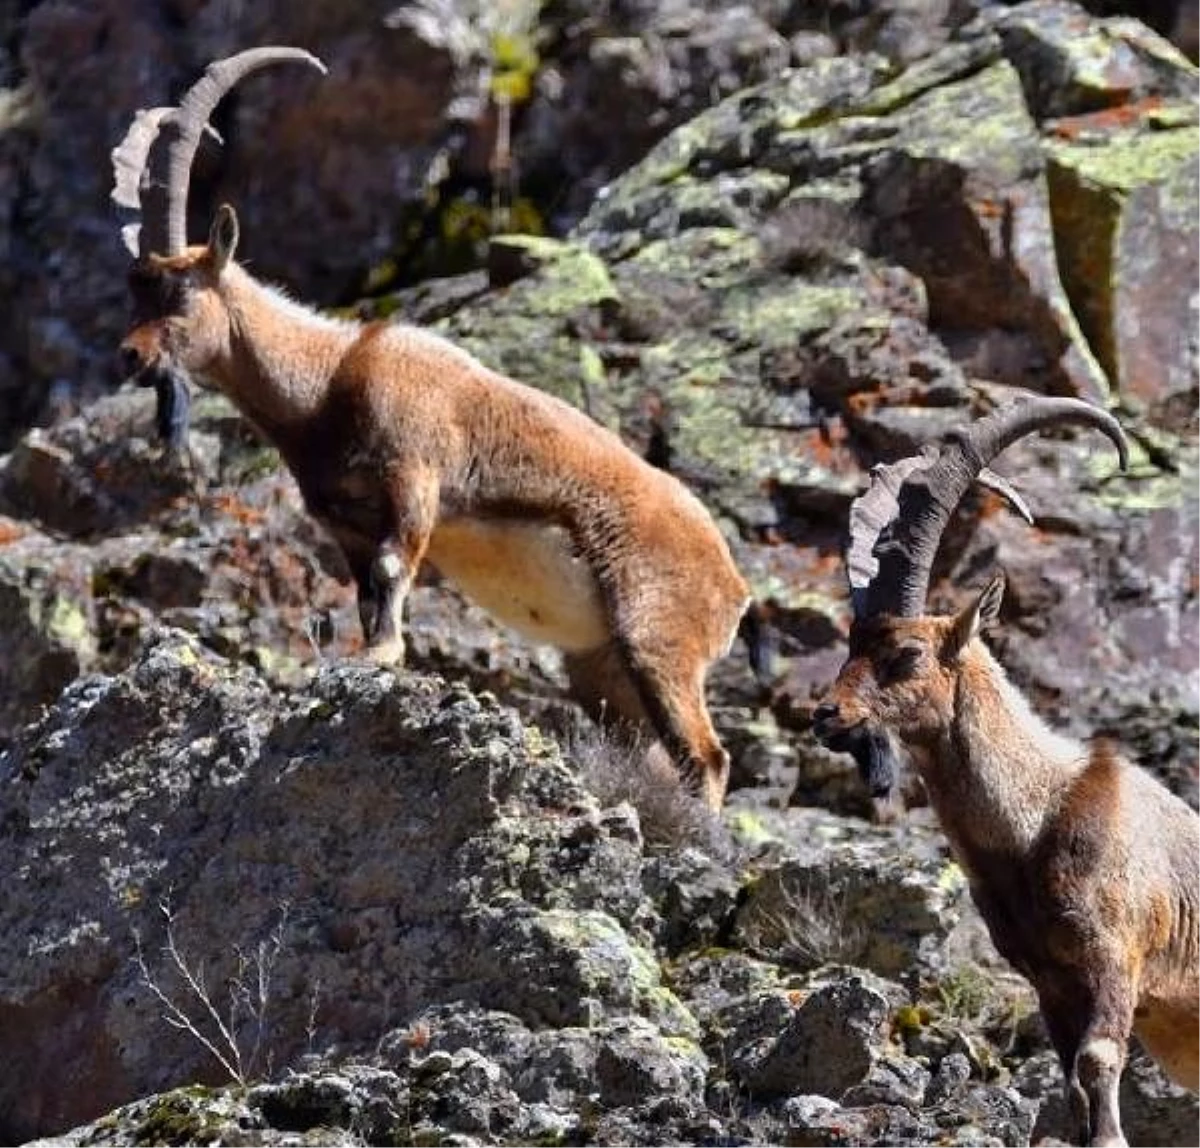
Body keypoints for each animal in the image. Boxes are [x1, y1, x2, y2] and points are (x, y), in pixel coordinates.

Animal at [112, 49, 748, 810]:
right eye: (135, 290)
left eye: (180, 292)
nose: (132, 356)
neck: (326, 381)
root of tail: (734, 586)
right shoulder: (347, 526)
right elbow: (367, 595)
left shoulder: (413, 476)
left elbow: (392, 585)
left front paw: (378, 664)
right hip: (604, 668)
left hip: (659, 642)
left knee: (706, 756)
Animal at [816, 395, 1200, 1146]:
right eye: (849, 645)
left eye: (907, 654)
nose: (827, 715)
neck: (1036, 820)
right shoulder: (1049, 980)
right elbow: (1071, 1083)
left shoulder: (1116, 959)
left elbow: (1098, 1062)